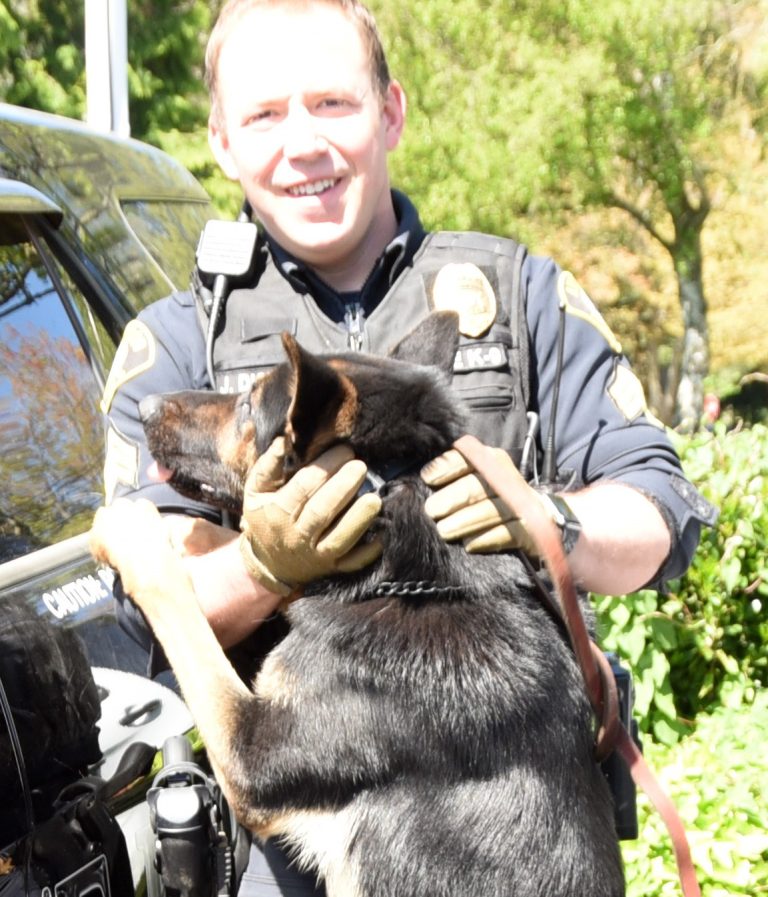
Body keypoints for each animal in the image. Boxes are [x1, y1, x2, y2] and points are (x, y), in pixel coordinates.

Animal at [91, 314, 624, 896]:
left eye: (248, 405)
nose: (143, 406)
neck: (422, 584)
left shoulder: (249, 752)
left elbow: (176, 601)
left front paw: (133, 534)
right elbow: (230, 547)